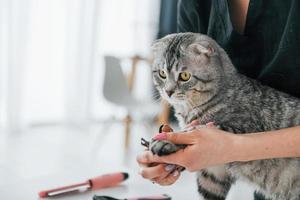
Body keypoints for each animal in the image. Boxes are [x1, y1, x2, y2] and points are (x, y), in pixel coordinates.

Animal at [150, 32, 300, 200]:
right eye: (162, 74)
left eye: (184, 76)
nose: (168, 92)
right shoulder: (213, 173)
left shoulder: (240, 130)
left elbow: (194, 131)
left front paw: (165, 141)